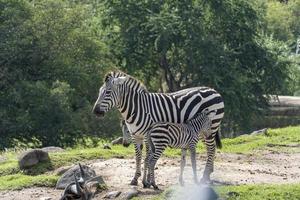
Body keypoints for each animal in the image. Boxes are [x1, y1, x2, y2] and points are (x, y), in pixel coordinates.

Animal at [92, 70, 224, 186]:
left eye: (108, 92)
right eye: (99, 91)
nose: (95, 111)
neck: (137, 108)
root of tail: (213, 90)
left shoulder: (147, 135)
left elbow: (147, 158)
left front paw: (147, 182)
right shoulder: (135, 136)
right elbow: (138, 157)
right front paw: (135, 179)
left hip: (212, 126)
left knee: (211, 148)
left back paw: (205, 176)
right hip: (203, 131)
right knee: (211, 148)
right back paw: (209, 173)